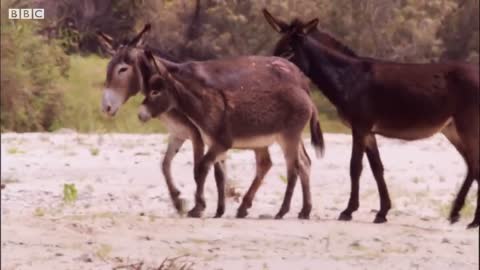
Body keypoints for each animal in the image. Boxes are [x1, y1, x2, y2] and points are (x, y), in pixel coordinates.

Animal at [140, 50, 326, 219]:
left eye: (155, 92)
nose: (140, 115)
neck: (205, 105)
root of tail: (307, 96)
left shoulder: (221, 143)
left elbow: (201, 168)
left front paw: (198, 208)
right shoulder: (216, 146)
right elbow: (219, 175)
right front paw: (219, 211)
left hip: (288, 137)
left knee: (293, 170)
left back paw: (282, 211)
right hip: (291, 138)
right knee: (303, 163)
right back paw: (304, 211)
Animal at [264, 8, 478, 228]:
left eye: (289, 52)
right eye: (276, 48)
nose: (269, 73)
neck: (349, 77)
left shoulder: (359, 127)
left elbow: (355, 167)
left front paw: (348, 211)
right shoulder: (368, 131)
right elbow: (377, 168)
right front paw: (382, 212)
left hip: (467, 126)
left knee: (475, 164)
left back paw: (473, 220)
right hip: (452, 129)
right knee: (472, 165)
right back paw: (457, 213)